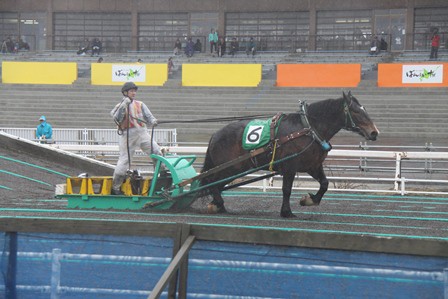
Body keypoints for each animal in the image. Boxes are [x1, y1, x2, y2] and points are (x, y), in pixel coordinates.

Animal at [201, 91, 380, 218]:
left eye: (364, 109)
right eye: (355, 111)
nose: (374, 132)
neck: (308, 129)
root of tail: (216, 134)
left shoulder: (313, 166)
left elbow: (325, 183)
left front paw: (310, 200)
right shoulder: (290, 166)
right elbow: (286, 189)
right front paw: (286, 211)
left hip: (235, 169)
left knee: (216, 184)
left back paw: (217, 204)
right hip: (228, 167)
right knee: (211, 181)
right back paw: (218, 203)